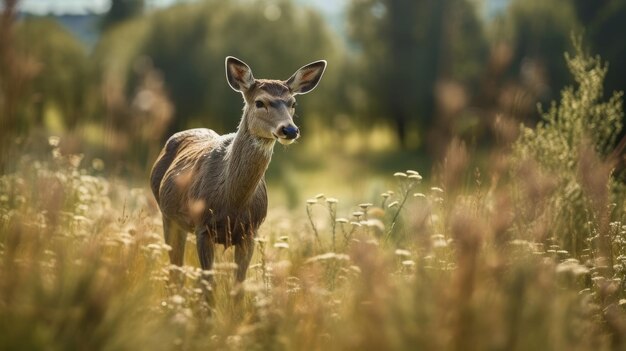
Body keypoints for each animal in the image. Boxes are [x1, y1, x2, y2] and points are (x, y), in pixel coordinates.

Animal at [149, 56, 326, 302]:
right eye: (260, 102)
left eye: (293, 103)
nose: (290, 130)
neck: (232, 202)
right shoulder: (203, 227)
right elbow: (208, 287)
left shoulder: (250, 231)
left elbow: (238, 288)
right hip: (168, 216)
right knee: (175, 270)